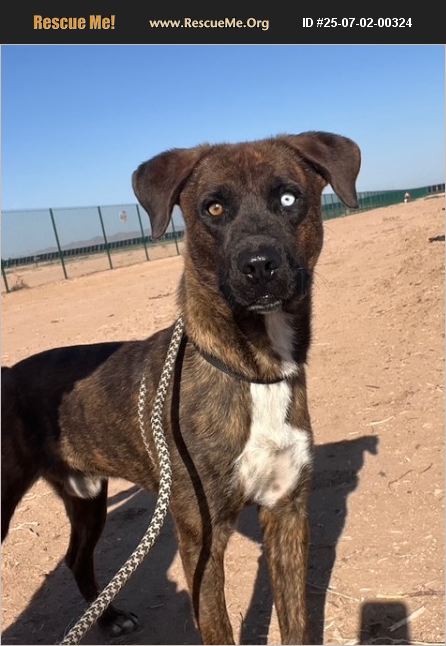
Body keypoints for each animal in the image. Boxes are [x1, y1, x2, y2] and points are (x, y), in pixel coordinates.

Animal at [2, 131, 360, 644]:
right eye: (214, 208)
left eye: (289, 198)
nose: (259, 266)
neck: (251, 372)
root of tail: (8, 372)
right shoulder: (202, 539)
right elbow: (219, 630)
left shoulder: (287, 512)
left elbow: (296, 624)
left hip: (86, 496)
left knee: (76, 557)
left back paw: (109, 617)